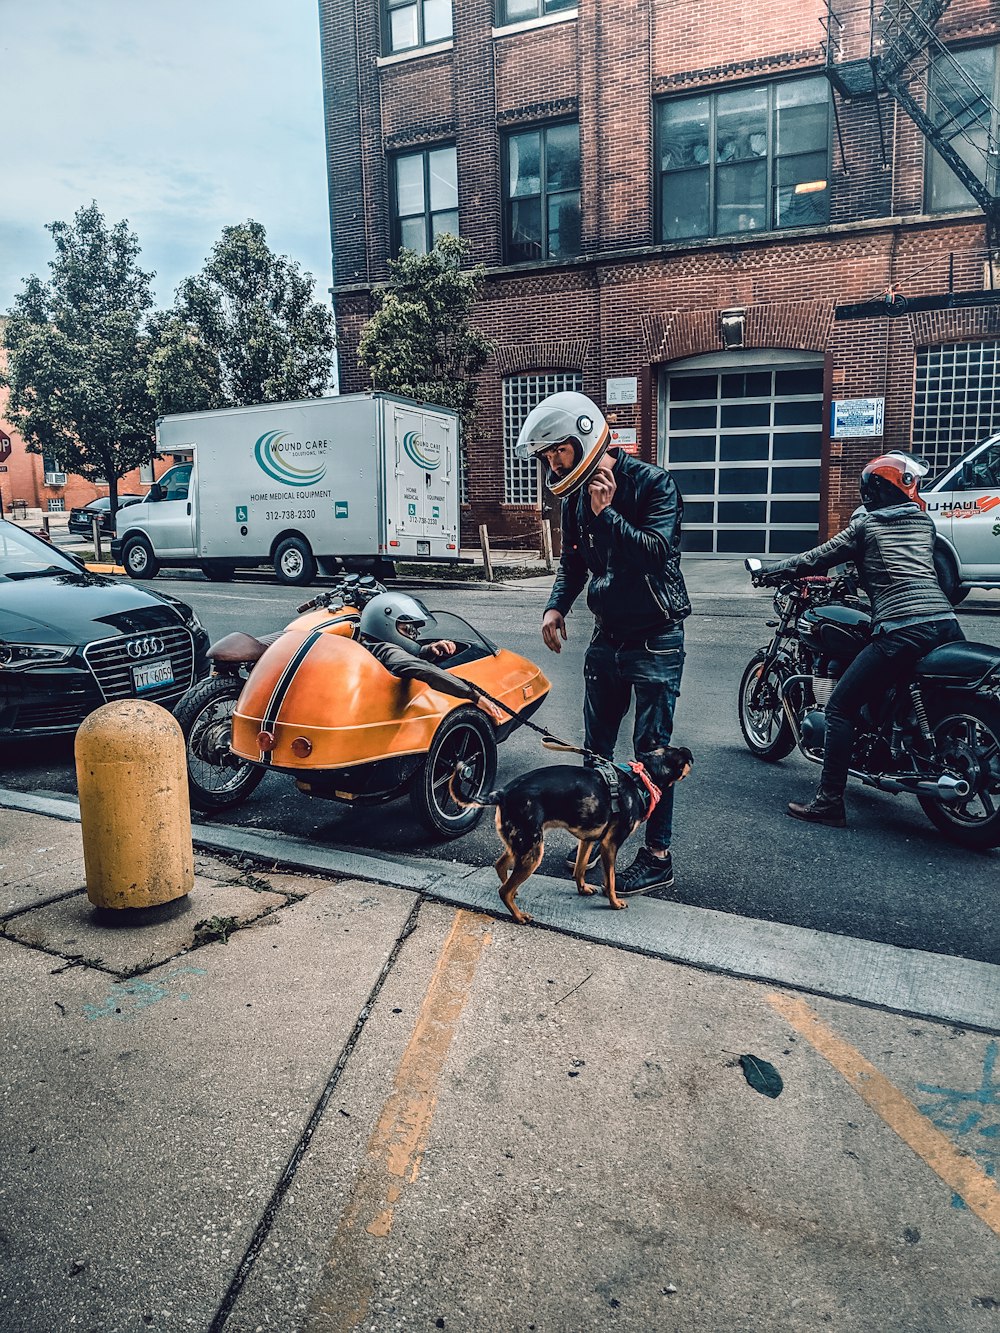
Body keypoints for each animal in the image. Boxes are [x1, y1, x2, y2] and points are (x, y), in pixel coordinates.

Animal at [453, 751, 693, 927]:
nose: (692, 759)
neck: (642, 777)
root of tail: (502, 793)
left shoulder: (588, 840)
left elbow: (579, 869)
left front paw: (583, 889)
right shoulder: (610, 845)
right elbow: (610, 880)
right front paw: (614, 903)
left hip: (520, 844)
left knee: (501, 866)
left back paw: (514, 891)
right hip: (532, 850)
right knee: (503, 891)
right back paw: (519, 915)